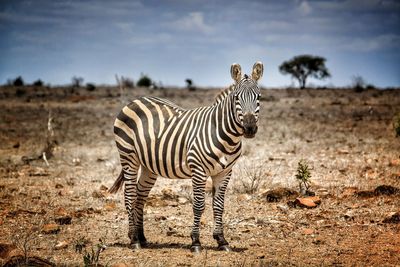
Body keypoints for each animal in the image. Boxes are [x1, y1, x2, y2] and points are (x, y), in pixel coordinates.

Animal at [109, 62, 264, 253]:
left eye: (258, 97)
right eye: (236, 98)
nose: (249, 128)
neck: (223, 133)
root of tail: (136, 100)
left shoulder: (224, 172)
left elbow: (219, 206)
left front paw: (221, 240)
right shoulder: (198, 169)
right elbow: (198, 205)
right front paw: (195, 242)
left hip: (148, 166)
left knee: (140, 197)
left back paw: (142, 238)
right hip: (129, 157)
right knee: (130, 196)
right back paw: (133, 240)